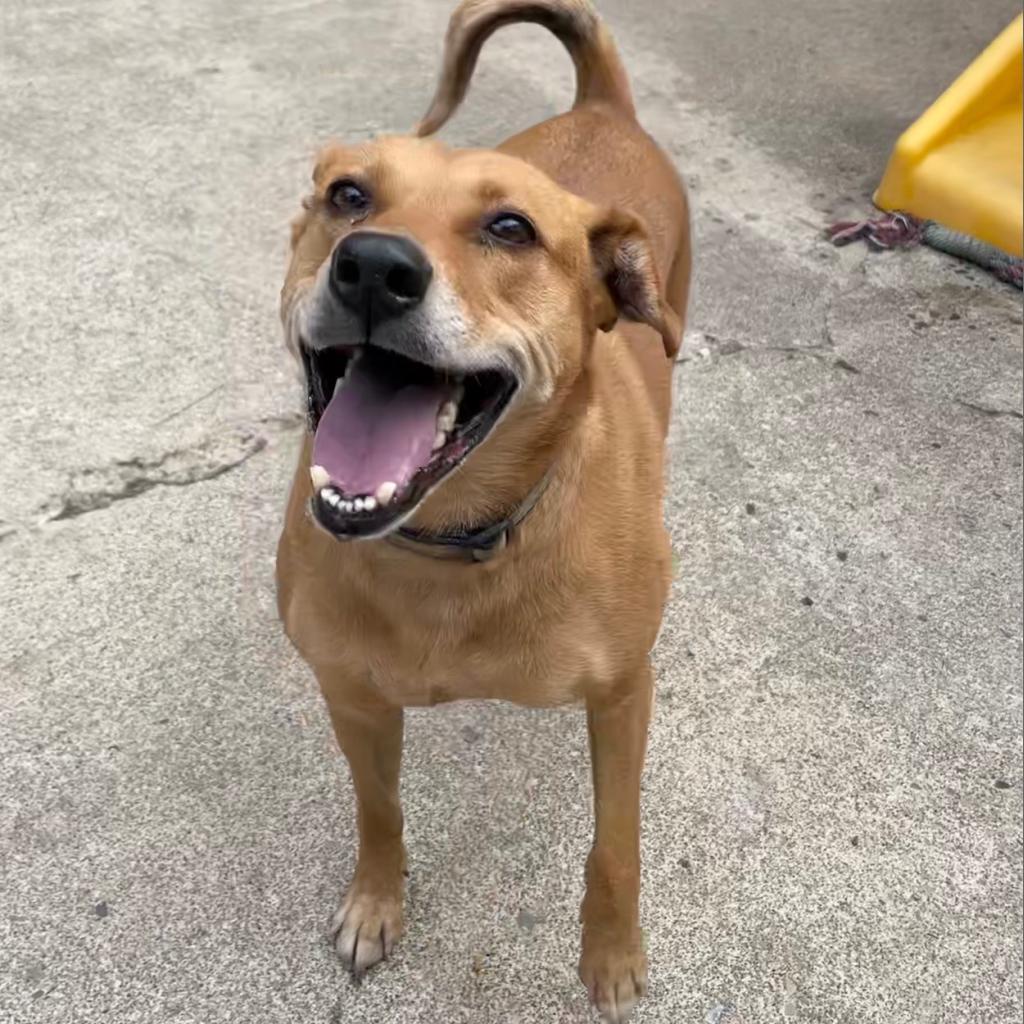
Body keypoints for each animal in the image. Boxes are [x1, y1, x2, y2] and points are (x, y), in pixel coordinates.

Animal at [274, 4, 688, 1019]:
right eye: (348, 194)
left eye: (510, 227)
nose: (374, 267)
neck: (451, 544)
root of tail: (601, 107)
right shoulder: (351, 693)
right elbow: (379, 808)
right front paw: (376, 902)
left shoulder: (624, 694)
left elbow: (615, 845)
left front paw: (611, 956)